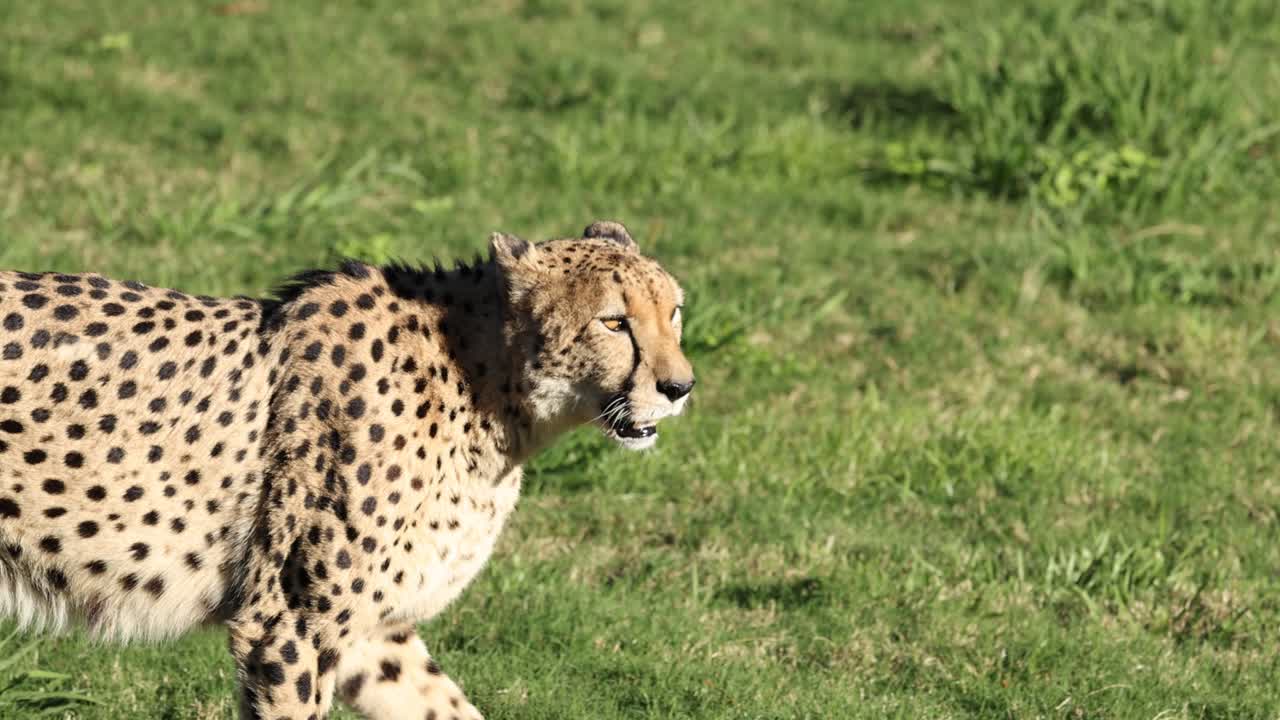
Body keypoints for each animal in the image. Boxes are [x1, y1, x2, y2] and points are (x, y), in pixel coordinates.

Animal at [0, 220, 694, 719]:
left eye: (674, 312)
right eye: (614, 321)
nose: (680, 387)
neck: (487, 388)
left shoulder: (372, 634)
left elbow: (444, 706)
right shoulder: (287, 626)